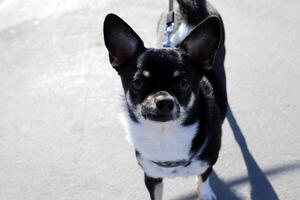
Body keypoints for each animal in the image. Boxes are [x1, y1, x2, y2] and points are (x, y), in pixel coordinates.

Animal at [103, 0, 227, 199]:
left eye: (183, 84)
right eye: (138, 83)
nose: (164, 101)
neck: (166, 135)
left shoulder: (207, 163)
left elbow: (204, 178)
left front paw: (205, 193)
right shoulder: (151, 177)